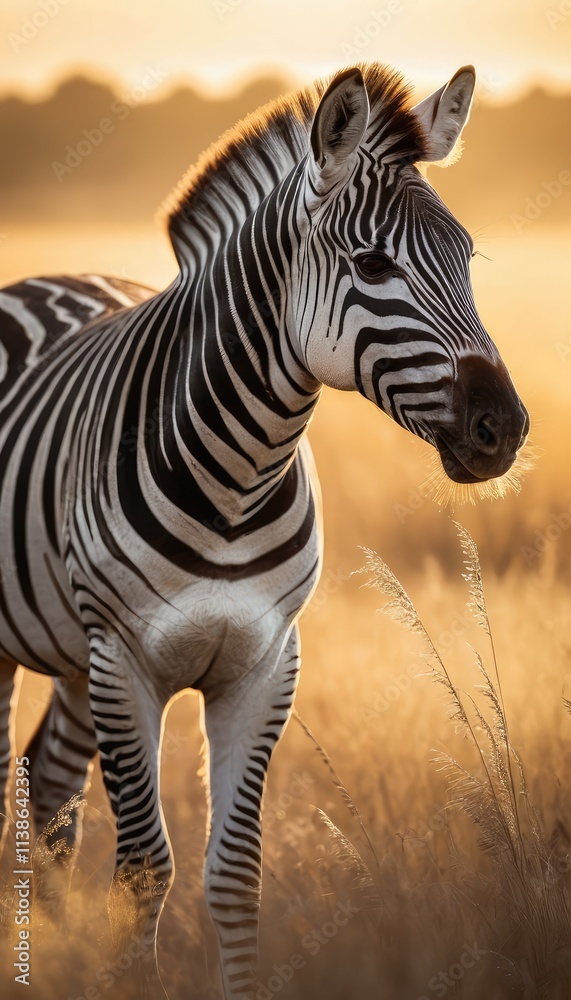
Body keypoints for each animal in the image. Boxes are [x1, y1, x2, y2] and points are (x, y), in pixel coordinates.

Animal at [0, 63, 528, 999]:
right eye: (372, 263)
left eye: (465, 257)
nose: (502, 430)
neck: (236, 478)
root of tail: (49, 276)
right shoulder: (124, 659)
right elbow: (144, 873)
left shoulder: (264, 660)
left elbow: (233, 874)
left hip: (71, 655)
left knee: (48, 798)